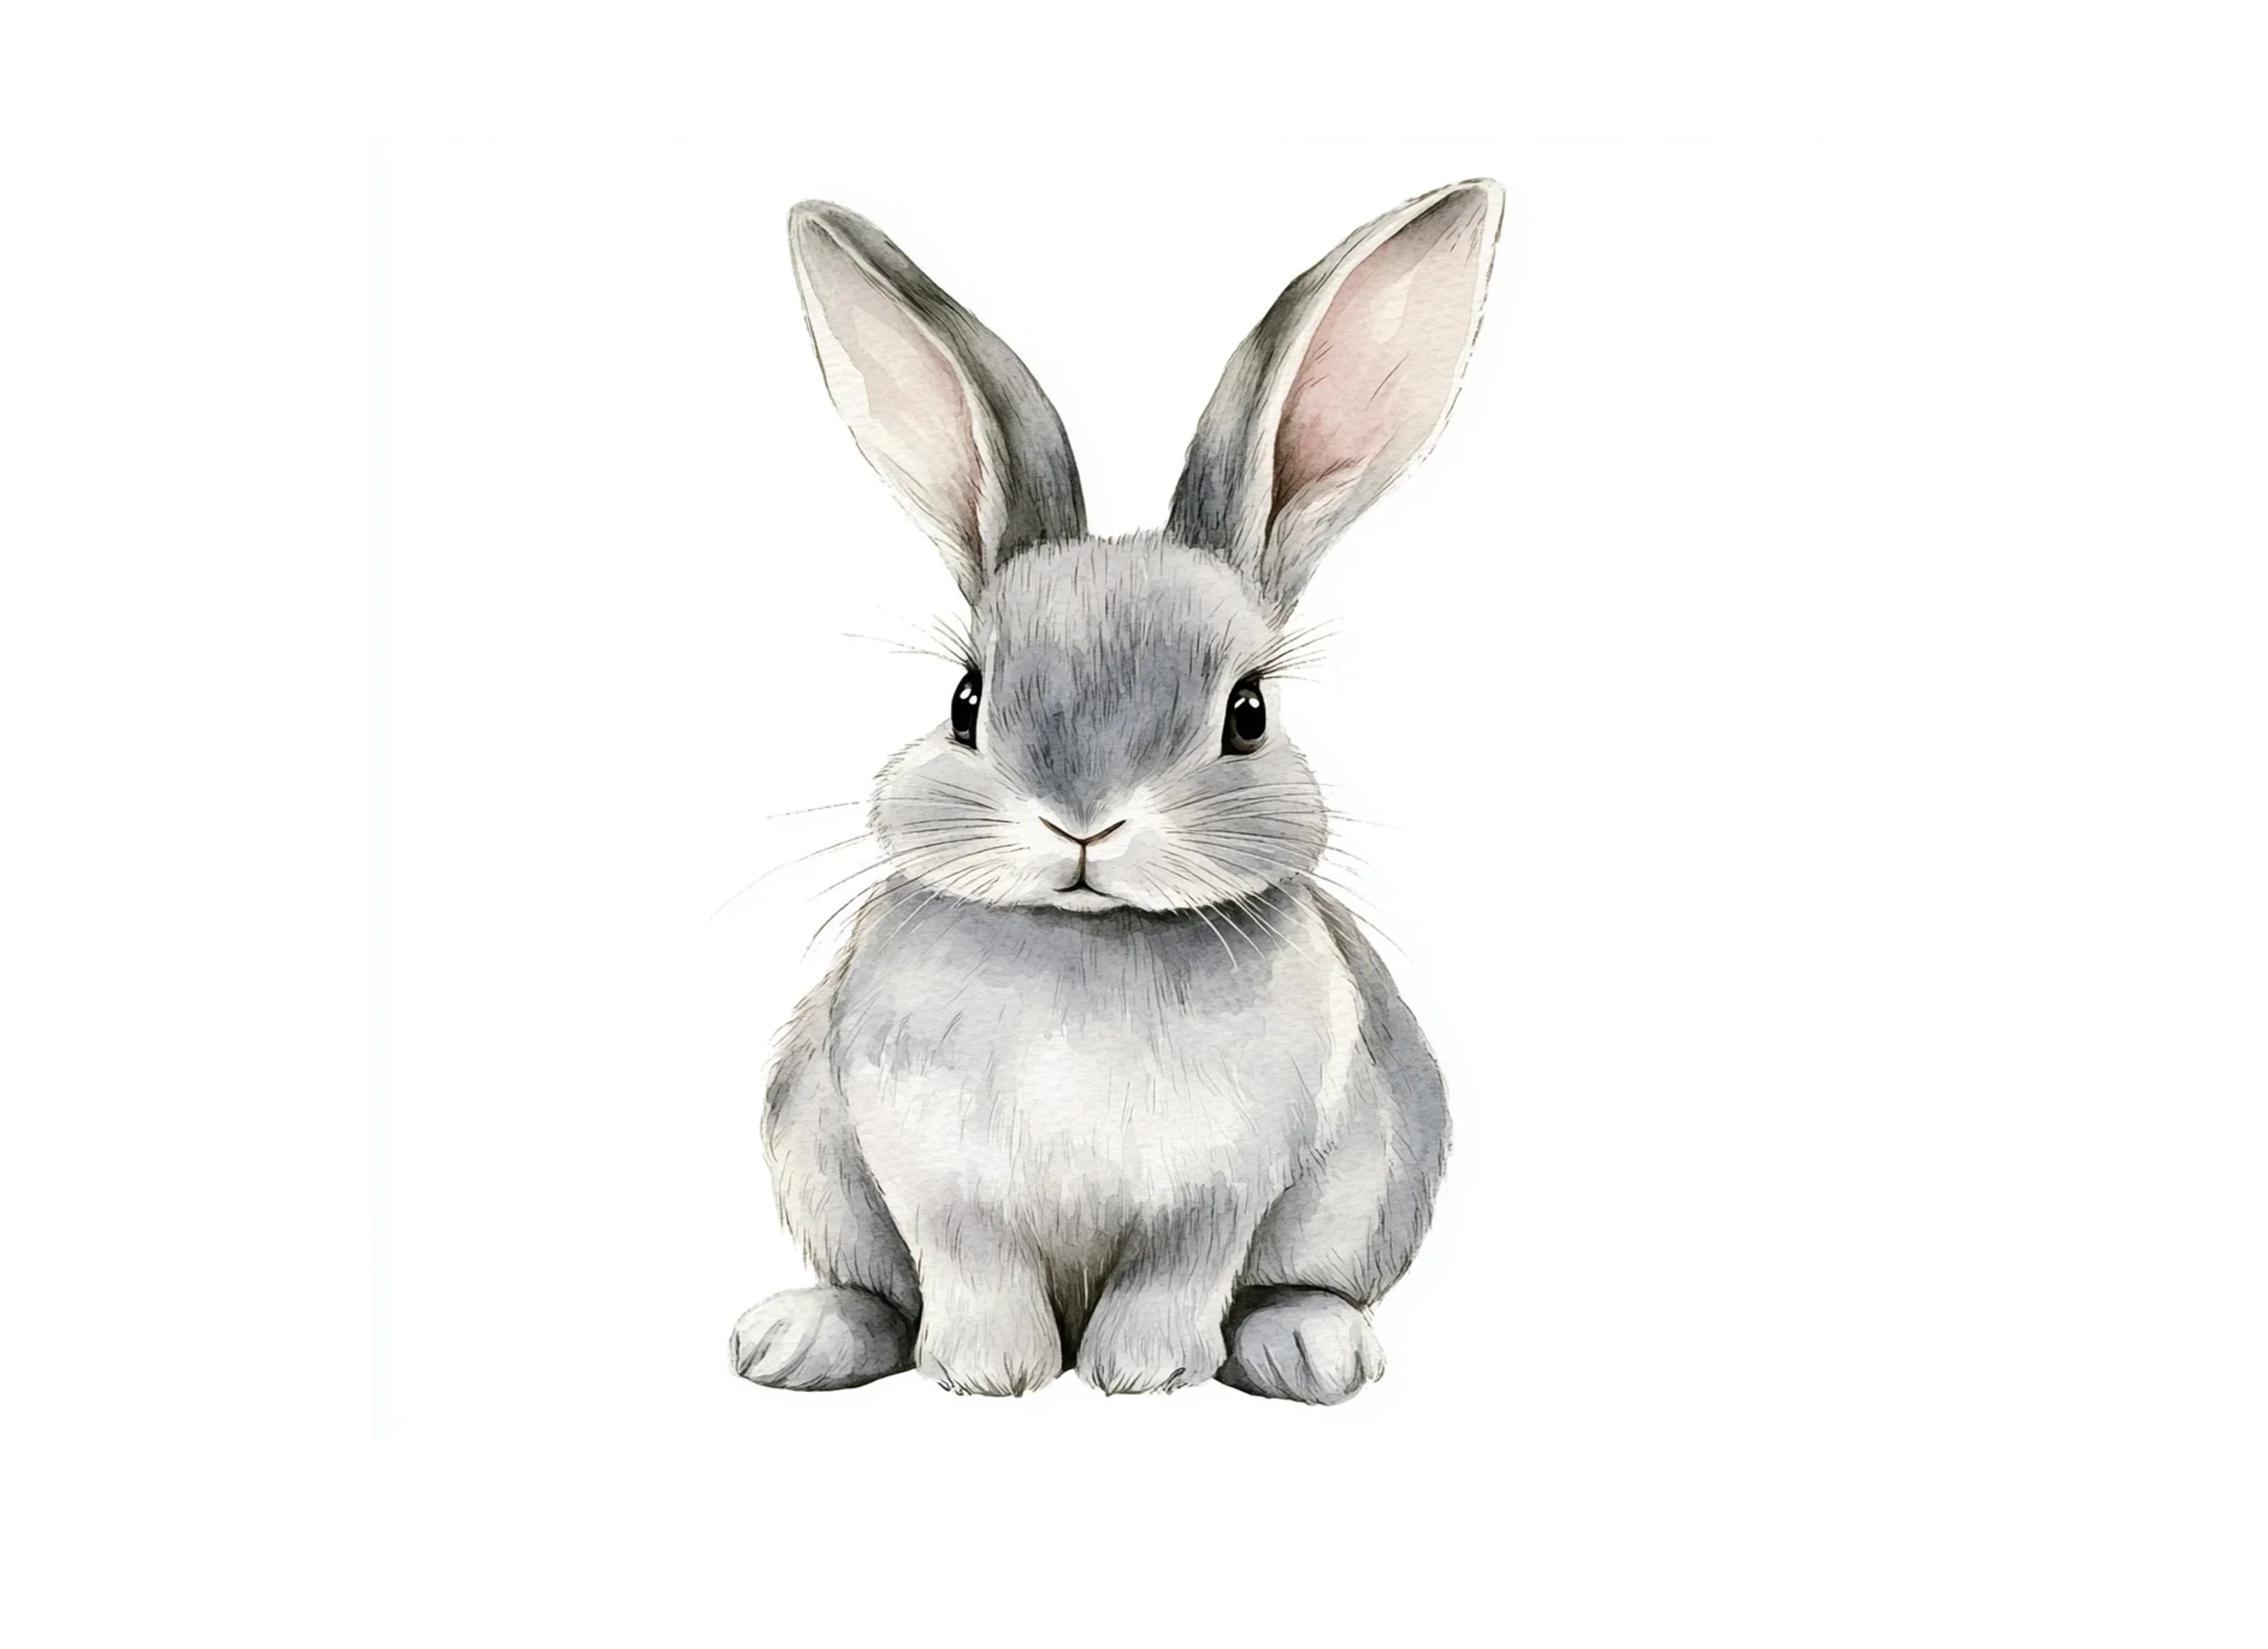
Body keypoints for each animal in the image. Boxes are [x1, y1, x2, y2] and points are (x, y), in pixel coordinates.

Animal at [730, 179, 1504, 1402]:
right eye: (965, 701)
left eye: (1248, 713)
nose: (1082, 822)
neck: (1089, 942)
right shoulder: (935, 1182)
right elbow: (971, 1271)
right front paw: (991, 1374)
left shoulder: (1215, 1197)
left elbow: (1175, 1275)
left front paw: (1139, 1374)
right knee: (876, 1294)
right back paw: (794, 1338)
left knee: (1296, 1287)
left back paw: (1308, 1349)